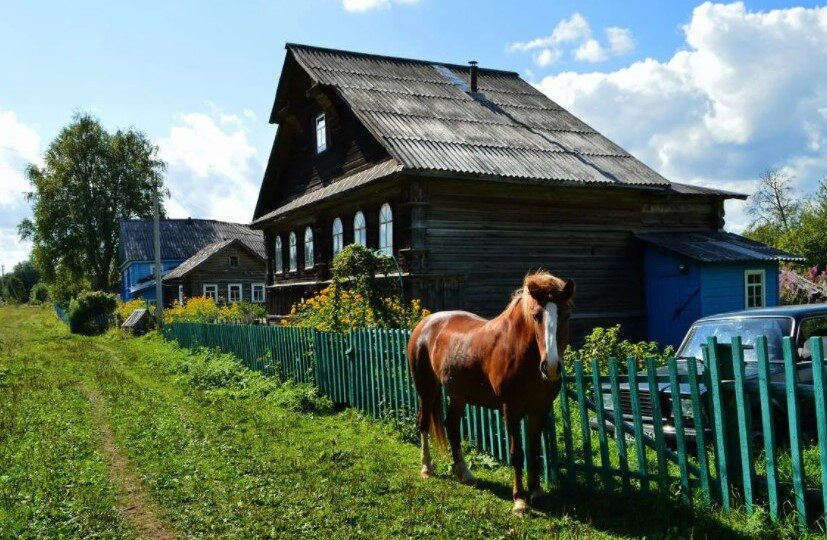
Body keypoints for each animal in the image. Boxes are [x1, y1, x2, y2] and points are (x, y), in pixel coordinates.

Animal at [408, 272, 576, 512]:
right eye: (536, 316)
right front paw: (520, 501)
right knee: (423, 421)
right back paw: (426, 468)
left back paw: (465, 474)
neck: (519, 351)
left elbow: (534, 451)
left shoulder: (540, 410)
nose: (551, 367)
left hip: (458, 394)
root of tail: (424, 324)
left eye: (567, 315)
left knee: (452, 426)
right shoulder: (511, 409)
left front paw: (536, 492)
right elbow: (517, 454)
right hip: (426, 388)